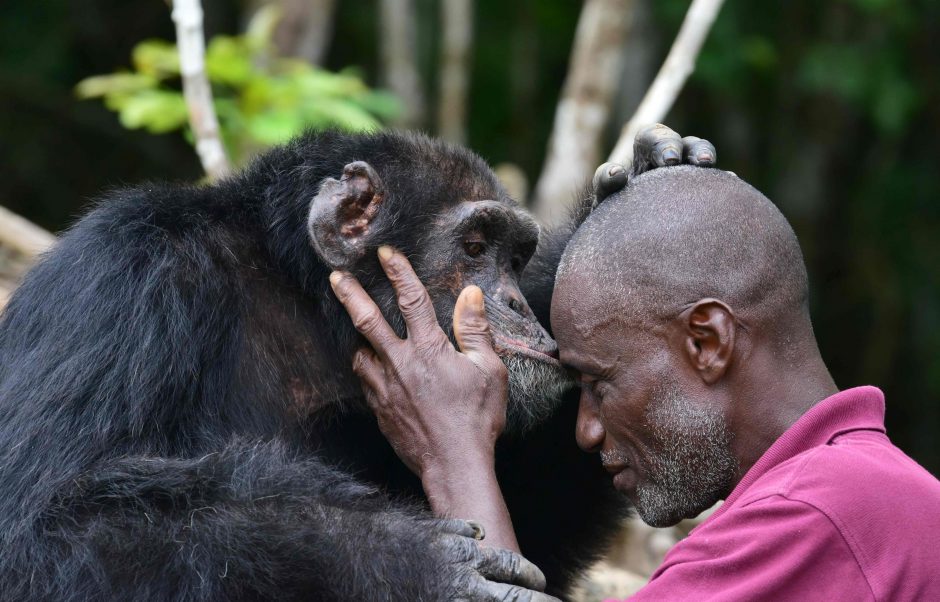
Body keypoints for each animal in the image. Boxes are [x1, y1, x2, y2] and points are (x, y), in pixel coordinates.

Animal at [0, 124, 712, 596]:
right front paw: (412, 560)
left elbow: (533, 528)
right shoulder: (123, 286)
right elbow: (40, 530)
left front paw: (646, 175)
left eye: (516, 257)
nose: (515, 300)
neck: (308, 302)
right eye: (475, 246)